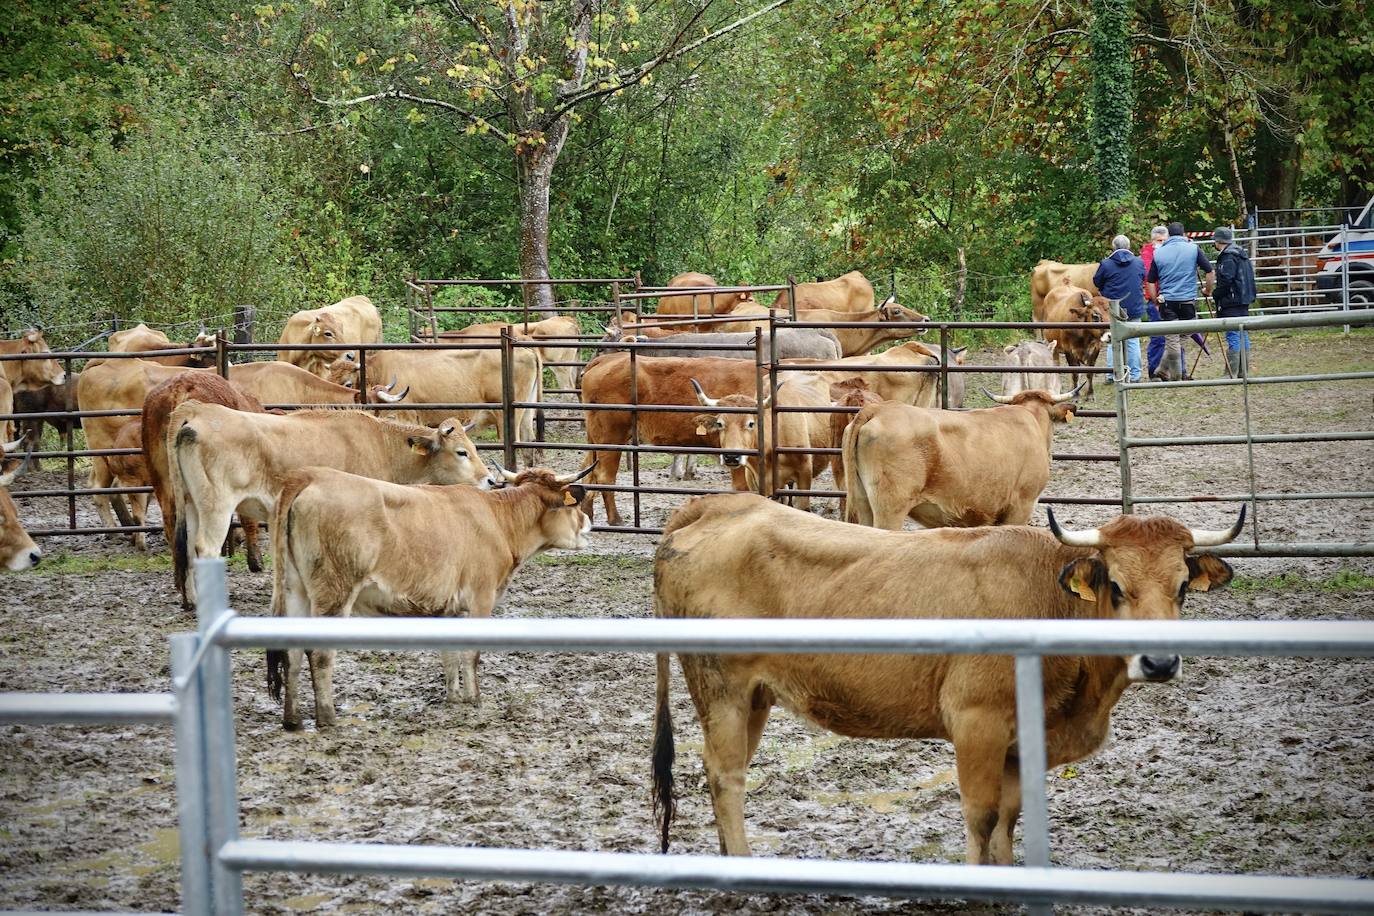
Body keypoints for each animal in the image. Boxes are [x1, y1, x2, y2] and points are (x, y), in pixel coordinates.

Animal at [169, 403, 494, 604]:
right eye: (462, 452)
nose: (490, 480)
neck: (381, 445)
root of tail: (197, 410)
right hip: (217, 506)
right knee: (205, 548)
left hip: (191, 502)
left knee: (188, 547)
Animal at [265, 466, 593, 730]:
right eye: (575, 505)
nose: (588, 521)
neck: (498, 520)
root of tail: (309, 475)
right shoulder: (481, 597)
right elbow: (471, 654)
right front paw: (475, 698)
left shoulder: (448, 609)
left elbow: (450, 654)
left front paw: (454, 697)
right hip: (335, 590)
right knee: (320, 654)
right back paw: (327, 717)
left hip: (295, 589)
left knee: (292, 652)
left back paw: (292, 719)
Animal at [574, 354, 758, 527]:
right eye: (721, 423)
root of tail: (607, 359)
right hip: (611, 437)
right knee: (605, 475)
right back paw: (615, 520)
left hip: (596, 439)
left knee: (588, 469)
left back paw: (587, 514)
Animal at [648, 494, 1242, 862]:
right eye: (1116, 586)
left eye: (1182, 585)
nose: (1160, 663)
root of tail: (719, 505)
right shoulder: (977, 722)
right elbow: (981, 816)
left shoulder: (1020, 742)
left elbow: (1009, 818)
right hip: (721, 689)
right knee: (725, 775)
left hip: (755, 696)